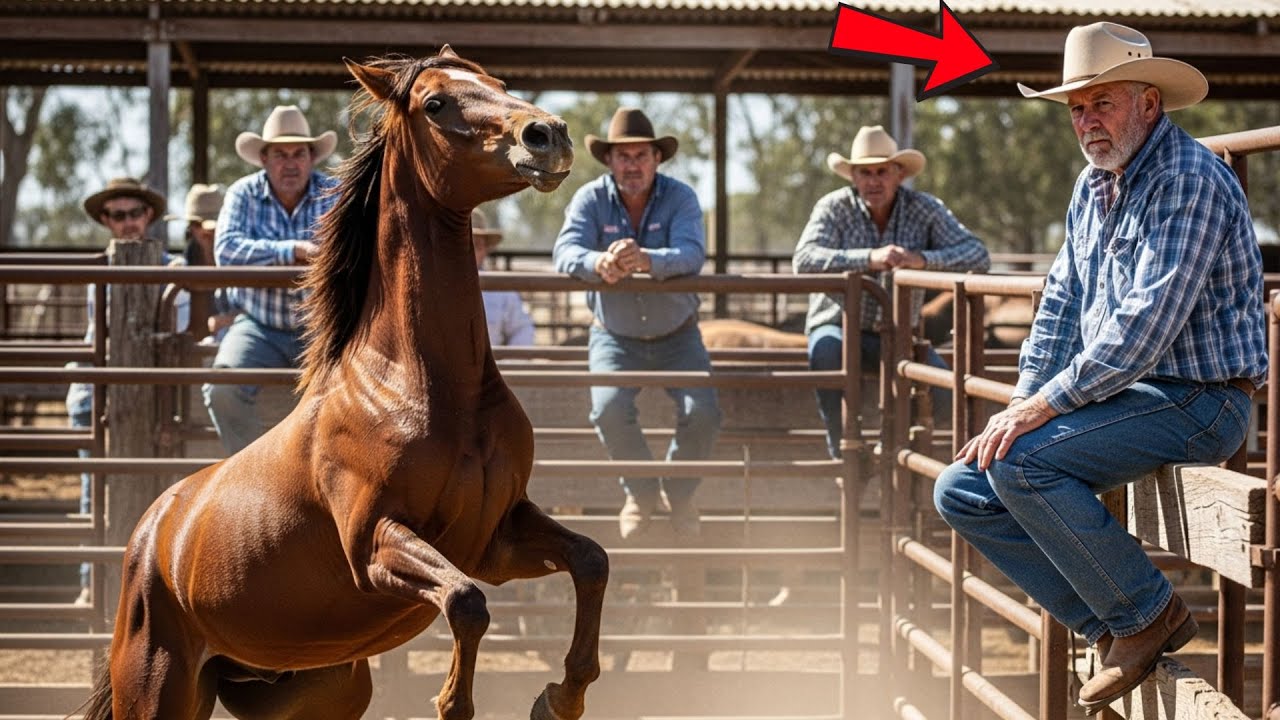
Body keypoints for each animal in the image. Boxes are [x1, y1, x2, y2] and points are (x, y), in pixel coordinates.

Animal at [79, 47, 607, 720]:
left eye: (498, 82)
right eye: (436, 103)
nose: (547, 135)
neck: (419, 386)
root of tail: (150, 535)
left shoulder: (496, 538)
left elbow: (590, 561)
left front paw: (560, 696)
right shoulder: (374, 546)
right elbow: (466, 603)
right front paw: (455, 700)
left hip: (318, 689)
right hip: (156, 692)